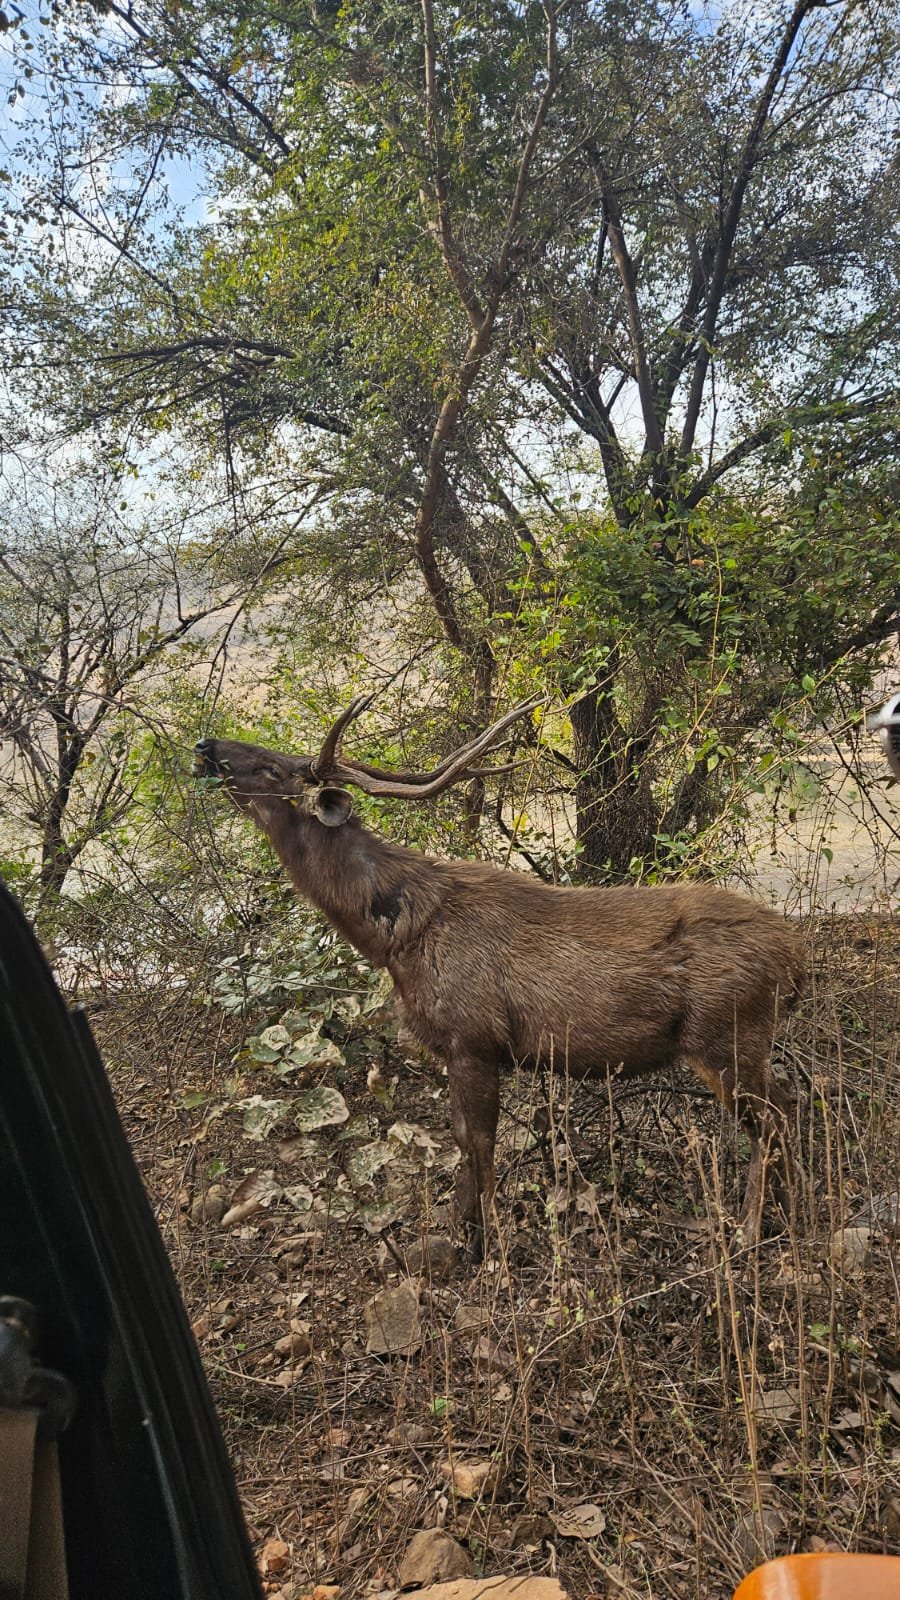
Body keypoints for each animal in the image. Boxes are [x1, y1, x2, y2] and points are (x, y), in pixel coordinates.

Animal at [194, 696, 805, 1255]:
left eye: (273, 769)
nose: (206, 747)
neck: (396, 938)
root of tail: (797, 960)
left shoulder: (475, 1037)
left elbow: (481, 1142)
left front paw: (487, 1249)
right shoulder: (454, 1047)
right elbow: (462, 1139)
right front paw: (455, 1230)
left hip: (726, 1034)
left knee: (774, 1117)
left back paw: (749, 1232)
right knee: (789, 1104)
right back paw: (788, 1211)